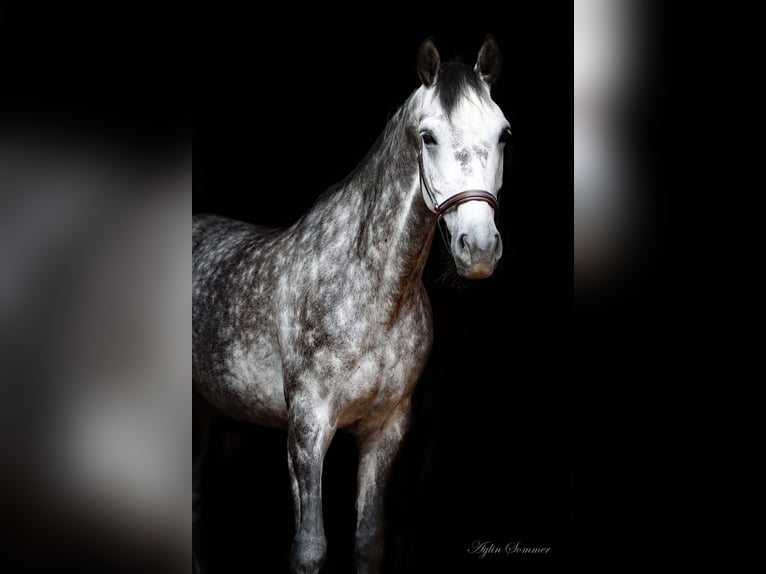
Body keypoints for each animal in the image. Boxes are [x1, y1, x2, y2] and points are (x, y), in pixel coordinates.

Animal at [195, 37, 512, 574]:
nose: (480, 248)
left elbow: (367, 541)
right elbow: (309, 549)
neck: (372, 294)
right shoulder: (307, 428)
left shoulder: (386, 428)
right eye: (427, 137)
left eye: (503, 133)